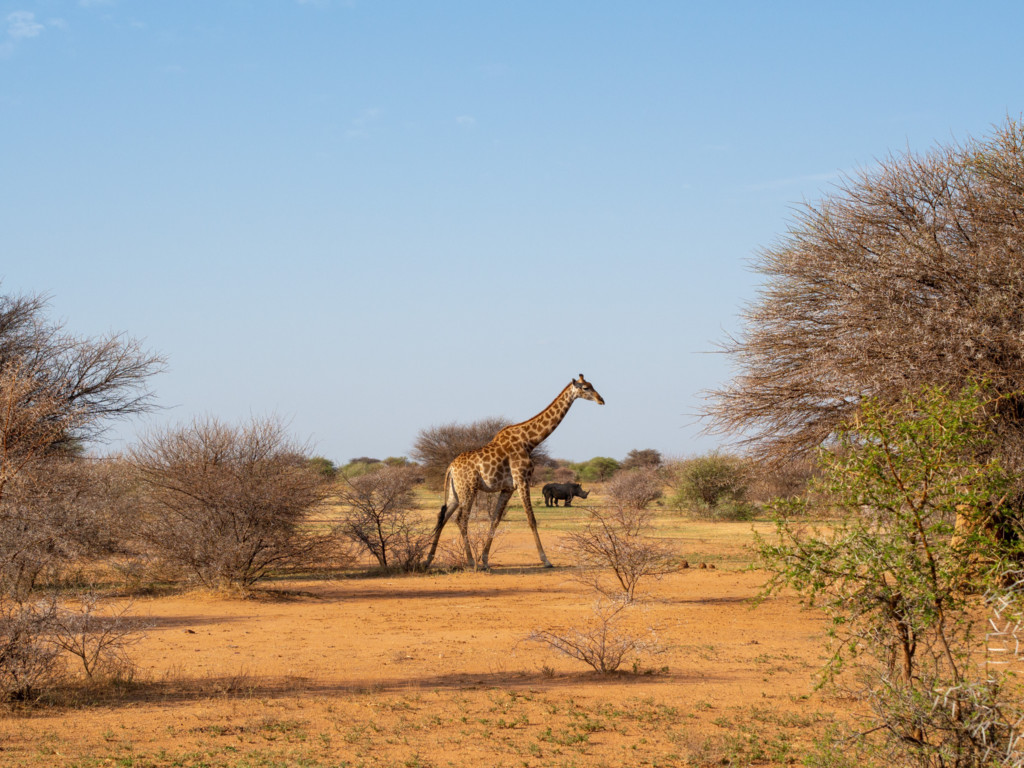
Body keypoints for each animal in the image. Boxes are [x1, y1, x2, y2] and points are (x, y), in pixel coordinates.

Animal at [421, 372, 602, 573]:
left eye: (592, 385)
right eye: (586, 387)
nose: (601, 400)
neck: (529, 441)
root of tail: (450, 468)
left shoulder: (507, 488)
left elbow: (495, 519)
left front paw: (485, 560)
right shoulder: (522, 480)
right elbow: (531, 519)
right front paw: (546, 560)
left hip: (455, 493)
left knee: (443, 517)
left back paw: (428, 560)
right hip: (469, 489)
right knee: (461, 519)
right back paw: (470, 562)